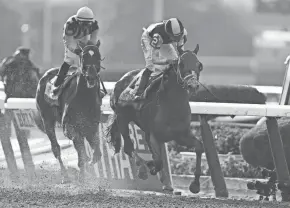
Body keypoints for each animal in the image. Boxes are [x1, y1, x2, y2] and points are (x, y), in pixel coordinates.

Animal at [35, 43, 103, 182]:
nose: (91, 77)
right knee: (56, 148)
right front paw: (82, 174)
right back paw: (65, 175)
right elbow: (81, 149)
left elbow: (97, 152)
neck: (84, 99)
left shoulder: (92, 126)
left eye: (98, 58)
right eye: (83, 58)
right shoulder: (69, 127)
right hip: (47, 120)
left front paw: (89, 166)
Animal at [106, 44, 204, 193]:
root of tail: (120, 81)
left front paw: (195, 184)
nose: (192, 85)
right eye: (181, 64)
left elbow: (199, 147)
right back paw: (142, 169)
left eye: (199, 65)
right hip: (122, 118)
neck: (173, 105)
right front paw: (150, 167)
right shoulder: (155, 136)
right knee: (128, 147)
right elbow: (158, 162)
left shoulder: (181, 135)